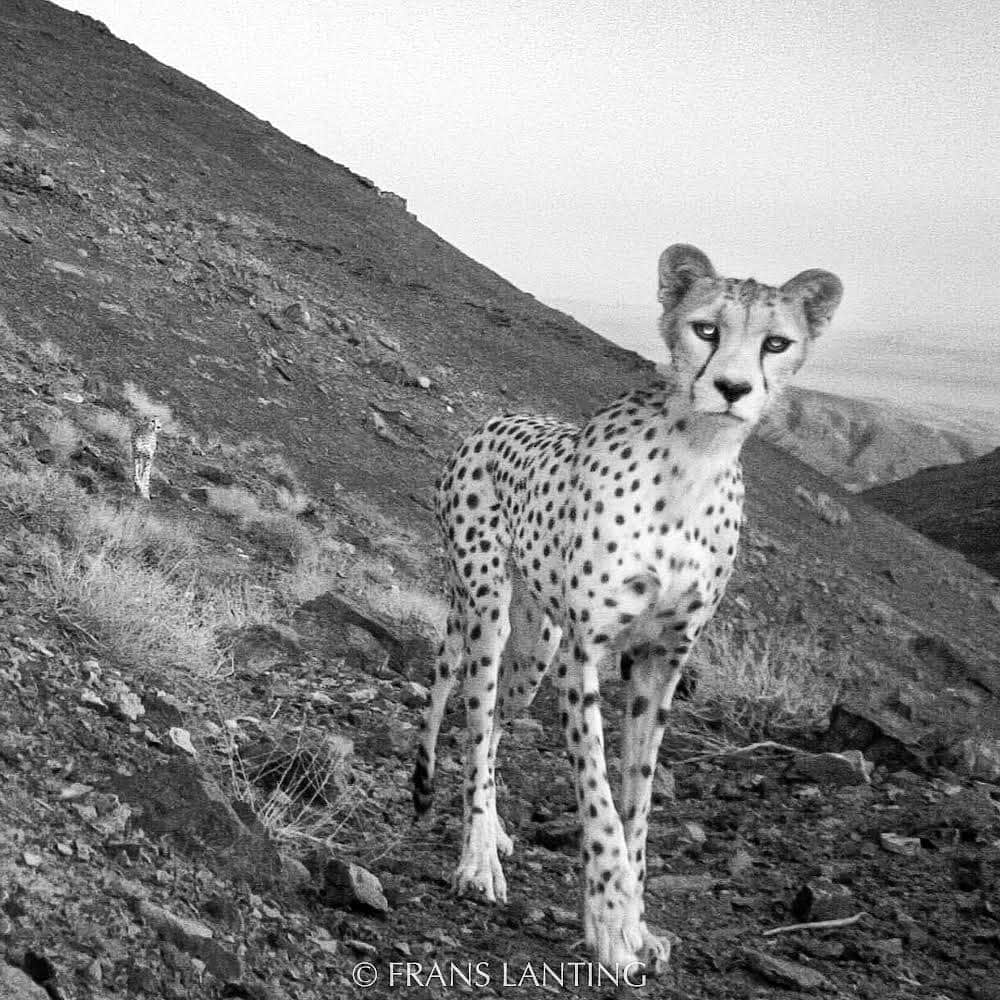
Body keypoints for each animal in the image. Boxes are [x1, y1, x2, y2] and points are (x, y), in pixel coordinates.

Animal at [410, 242, 840, 968]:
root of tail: (495, 420)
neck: (695, 461)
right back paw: (476, 861)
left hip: (537, 646)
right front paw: (610, 927)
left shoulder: (660, 661)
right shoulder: (587, 655)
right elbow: (600, 801)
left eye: (776, 343)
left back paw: (494, 836)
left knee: (492, 729)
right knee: (473, 719)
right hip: (490, 611)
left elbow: (637, 800)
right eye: (705, 329)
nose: (732, 389)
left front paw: (633, 919)